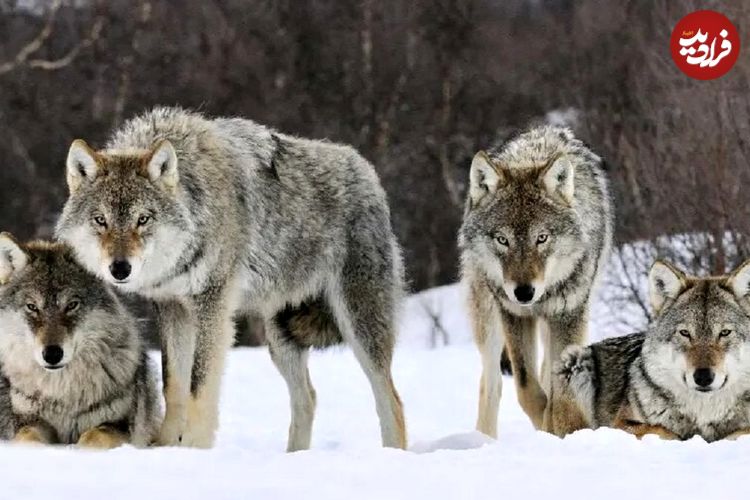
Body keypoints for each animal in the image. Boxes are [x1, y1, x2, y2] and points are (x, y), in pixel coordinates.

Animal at [0, 234, 160, 450]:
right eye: (32, 307)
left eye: (72, 305)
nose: (52, 354)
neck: (62, 393)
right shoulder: (28, 421)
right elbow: (28, 438)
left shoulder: (118, 426)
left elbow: (93, 438)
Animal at [55, 106, 408, 450]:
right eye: (100, 220)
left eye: (143, 219)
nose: (120, 269)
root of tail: (366, 170)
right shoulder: (172, 308)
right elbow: (174, 385)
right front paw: (166, 446)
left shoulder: (213, 305)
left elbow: (199, 385)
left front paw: (194, 448)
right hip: (280, 338)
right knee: (308, 398)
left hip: (358, 326)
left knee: (391, 401)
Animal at [458, 126, 616, 438]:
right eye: (502, 239)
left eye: (541, 238)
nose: (523, 292)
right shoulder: (514, 315)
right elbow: (526, 388)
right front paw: (545, 423)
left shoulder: (569, 315)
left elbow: (556, 388)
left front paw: (557, 426)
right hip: (488, 319)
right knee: (491, 383)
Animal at [560, 260, 750, 444]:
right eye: (685, 333)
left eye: (725, 332)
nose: (703, 377)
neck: (703, 413)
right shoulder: (619, 424)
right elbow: (661, 430)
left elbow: (741, 431)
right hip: (577, 362)